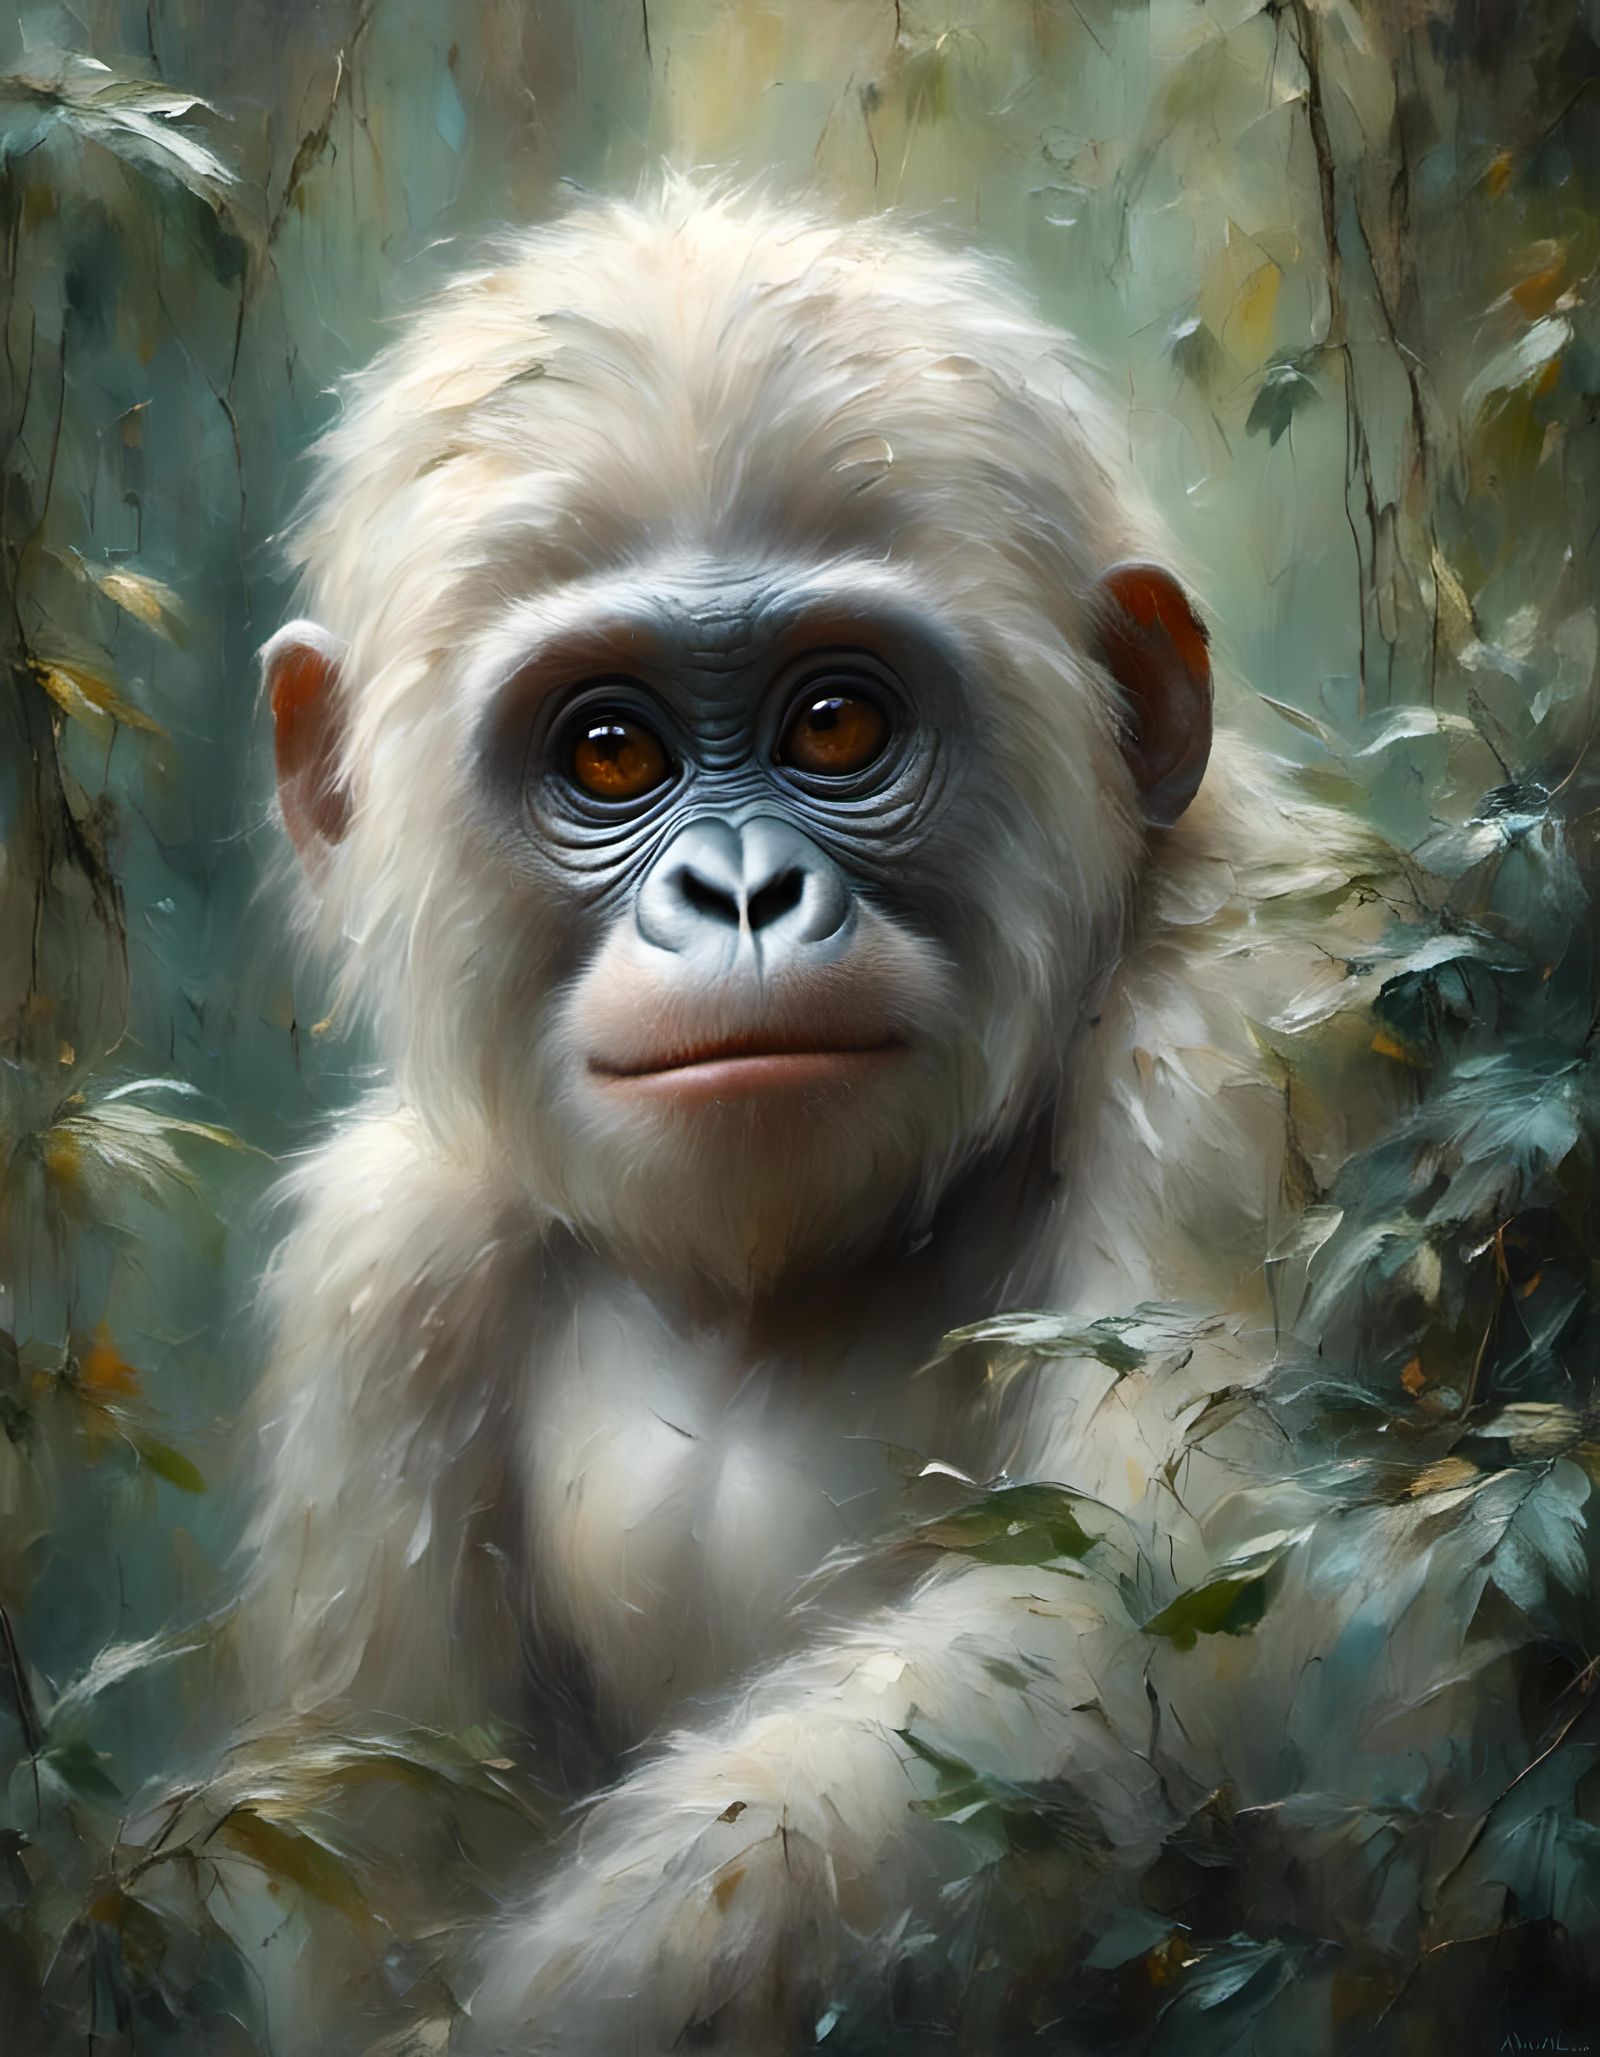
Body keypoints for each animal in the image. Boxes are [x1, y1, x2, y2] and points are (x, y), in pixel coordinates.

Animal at [244, 181, 1438, 2052]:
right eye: (607, 752)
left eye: (835, 720)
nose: (739, 893)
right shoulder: (377, 1279)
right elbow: (372, 1878)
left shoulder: (1260, 1023)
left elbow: (1143, 1624)